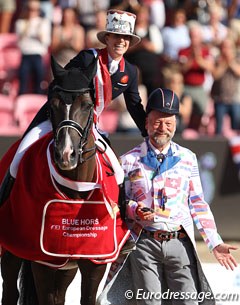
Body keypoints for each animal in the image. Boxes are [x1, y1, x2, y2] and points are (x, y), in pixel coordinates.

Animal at [0, 55, 129, 304]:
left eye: (87, 105)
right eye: (52, 105)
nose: (66, 154)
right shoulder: (42, 260)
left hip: (66, 267)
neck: (76, 189)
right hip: (12, 251)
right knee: (10, 292)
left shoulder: (95, 260)